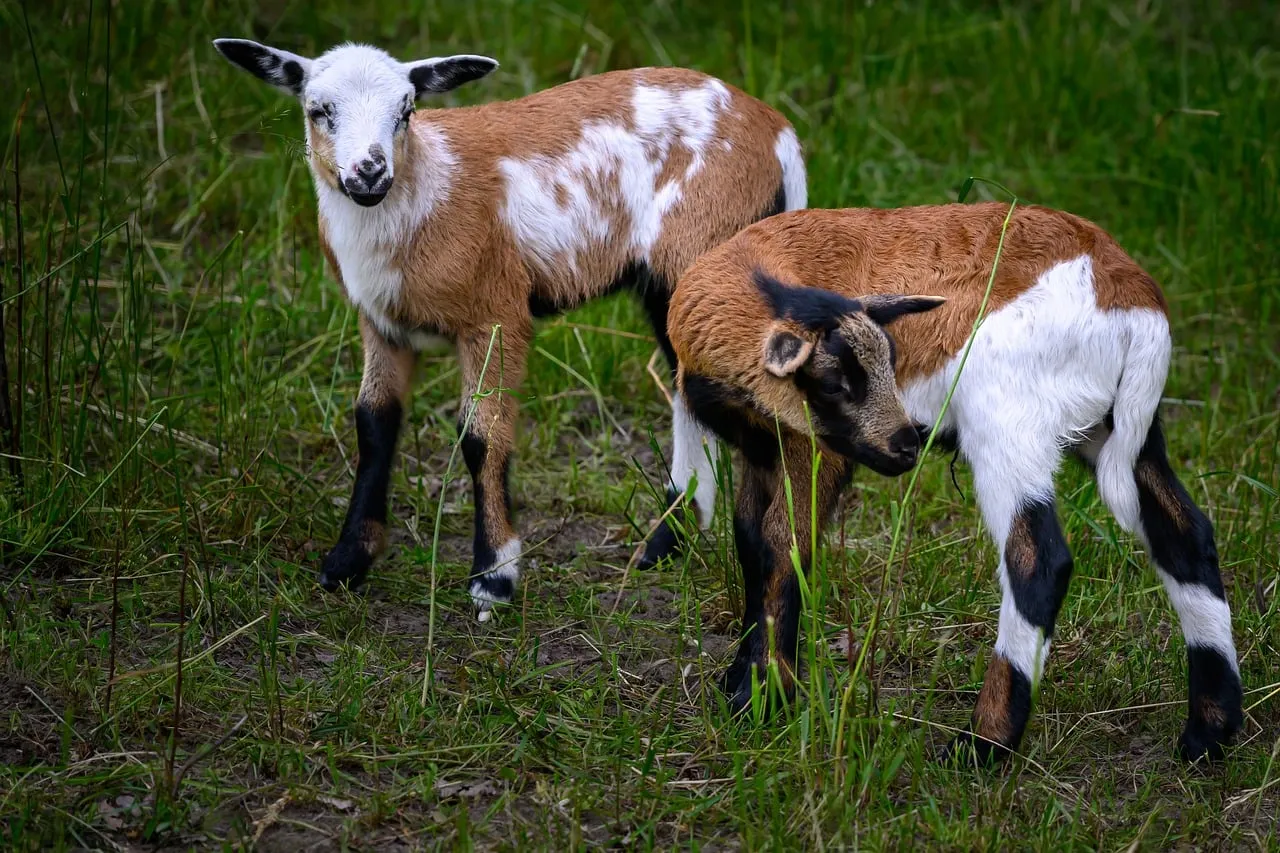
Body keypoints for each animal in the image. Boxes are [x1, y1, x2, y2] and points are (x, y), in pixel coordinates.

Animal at [212, 38, 807, 618]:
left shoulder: (495, 311)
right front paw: (347, 562)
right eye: (319, 109)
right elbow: (374, 423)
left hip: (699, 255)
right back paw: (670, 541)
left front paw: (493, 578)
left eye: (406, 110)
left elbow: (482, 435)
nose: (369, 172)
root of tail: (778, 132)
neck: (424, 189)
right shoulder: (381, 323)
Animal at [666, 201, 1243, 764]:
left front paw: (762, 697)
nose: (906, 445)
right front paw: (742, 682)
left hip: (1006, 421)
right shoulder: (761, 450)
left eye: (889, 364)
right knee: (1184, 535)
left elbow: (785, 542)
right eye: (835, 382)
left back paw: (982, 745)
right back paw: (1208, 733)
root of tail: (1132, 297)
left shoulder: (815, 447)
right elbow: (750, 539)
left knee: (1039, 562)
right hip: (1116, 428)